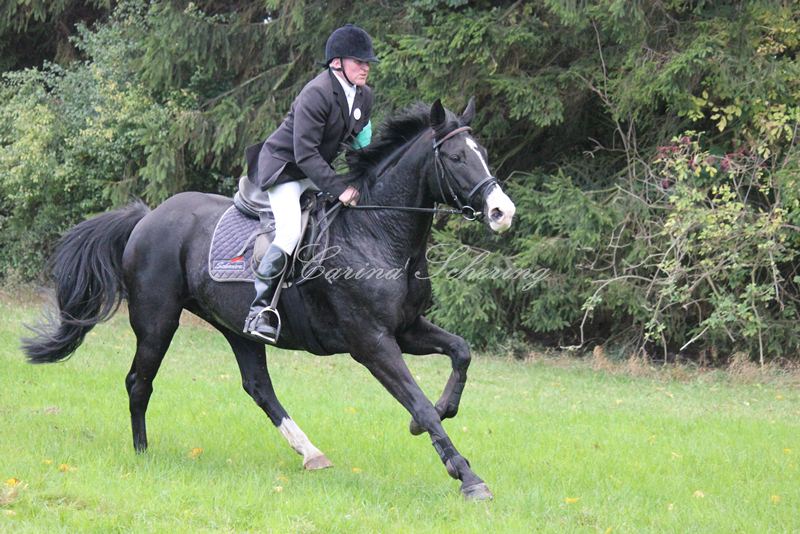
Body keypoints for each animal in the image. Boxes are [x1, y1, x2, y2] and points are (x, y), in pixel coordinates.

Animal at [22, 98, 516, 500]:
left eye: (484, 154)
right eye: (456, 157)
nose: (502, 212)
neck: (377, 231)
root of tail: (148, 216)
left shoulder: (407, 328)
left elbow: (461, 354)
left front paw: (441, 412)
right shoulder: (372, 343)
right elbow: (417, 401)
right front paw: (468, 477)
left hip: (236, 328)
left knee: (258, 387)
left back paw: (311, 453)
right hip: (157, 320)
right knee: (138, 382)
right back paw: (142, 453)